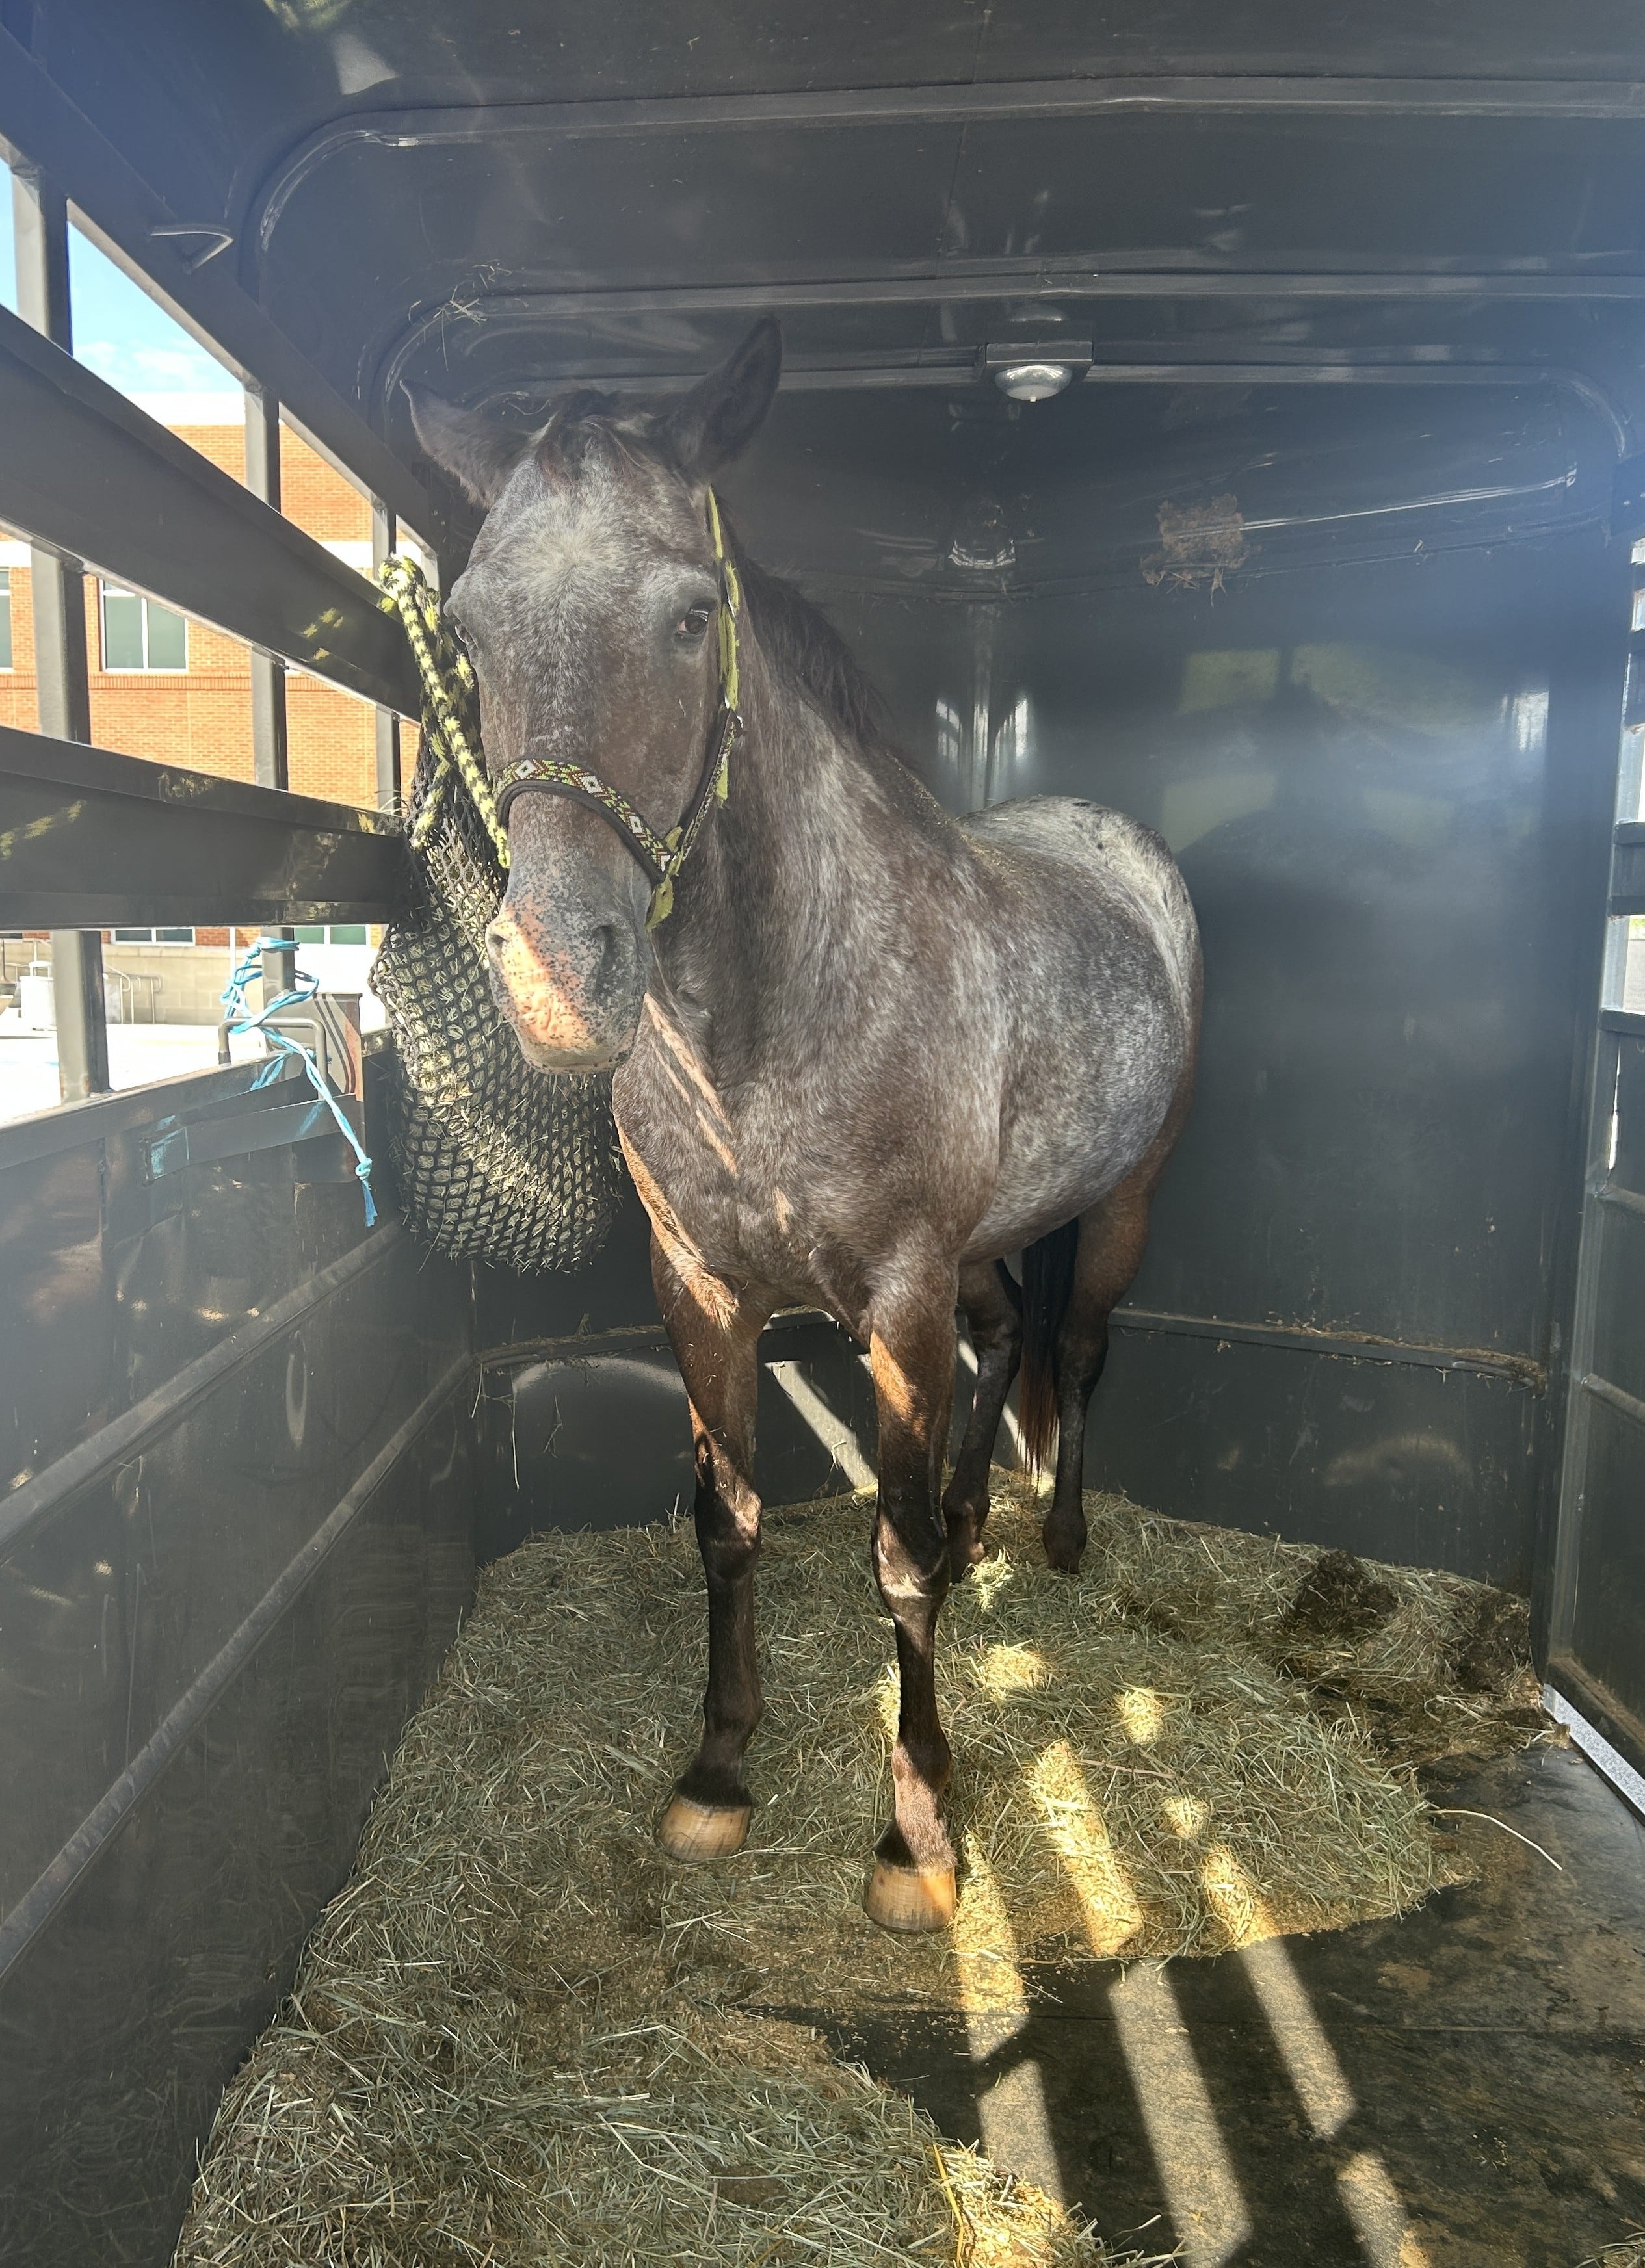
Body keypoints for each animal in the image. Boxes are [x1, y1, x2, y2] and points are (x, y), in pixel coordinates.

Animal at [408, 319, 1202, 1934]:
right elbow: (730, 1517)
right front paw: (716, 1771)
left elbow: (891, 1561)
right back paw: (980, 1522)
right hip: (975, 1253)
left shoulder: (892, 1297)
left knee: (1078, 1342)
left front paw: (917, 1832)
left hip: (1122, 1201)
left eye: (690, 612)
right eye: (464, 623)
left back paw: (1059, 1537)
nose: (555, 971)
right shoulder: (700, 1291)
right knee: (1009, 1332)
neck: (767, 1017)